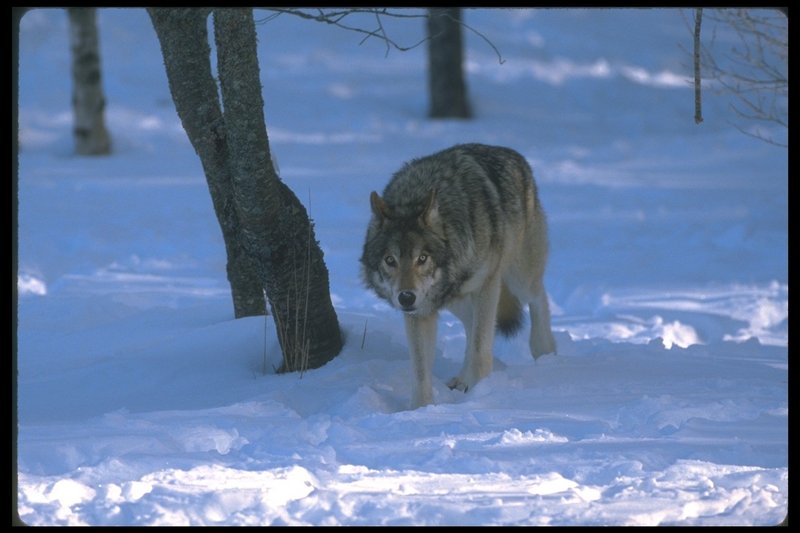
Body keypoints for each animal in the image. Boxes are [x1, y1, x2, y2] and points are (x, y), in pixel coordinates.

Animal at [362, 142, 556, 408]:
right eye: (390, 260)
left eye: (422, 258)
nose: (406, 298)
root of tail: (512, 153)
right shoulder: (420, 312)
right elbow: (421, 370)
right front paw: (420, 410)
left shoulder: (488, 285)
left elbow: (480, 350)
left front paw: (479, 395)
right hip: (457, 300)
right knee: (471, 324)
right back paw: (462, 380)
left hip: (519, 278)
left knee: (539, 299)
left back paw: (545, 353)